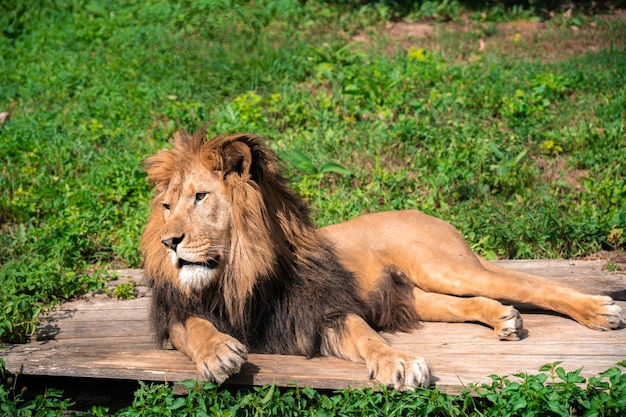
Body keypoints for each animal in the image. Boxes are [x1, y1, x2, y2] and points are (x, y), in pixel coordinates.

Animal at [140, 131, 620, 390]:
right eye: (166, 206)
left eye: (201, 197)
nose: (169, 242)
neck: (236, 274)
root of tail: (426, 212)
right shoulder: (175, 312)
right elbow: (193, 327)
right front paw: (218, 352)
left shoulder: (324, 311)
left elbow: (369, 338)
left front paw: (400, 363)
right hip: (419, 295)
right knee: (467, 304)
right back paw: (504, 318)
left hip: (446, 268)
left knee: (530, 285)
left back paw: (600, 311)